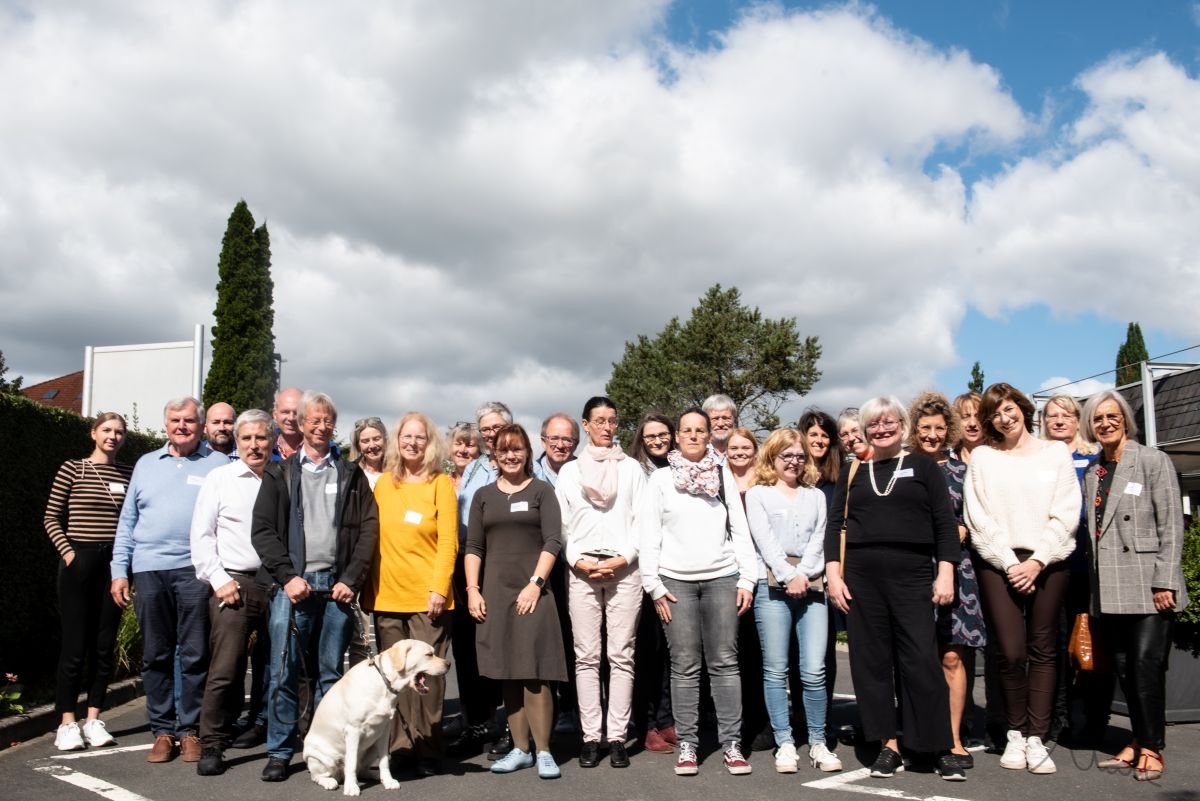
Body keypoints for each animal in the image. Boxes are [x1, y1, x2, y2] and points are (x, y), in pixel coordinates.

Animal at [302, 637, 448, 796]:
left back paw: (375, 775)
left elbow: (384, 761)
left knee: (361, 770)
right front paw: (351, 787)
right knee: (318, 776)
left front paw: (388, 781)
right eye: (429, 654)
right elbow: (351, 764)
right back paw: (329, 782)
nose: (449, 664)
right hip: (320, 757)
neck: (385, 682)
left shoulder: (384, 730)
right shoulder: (353, 731)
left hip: (371, 749)